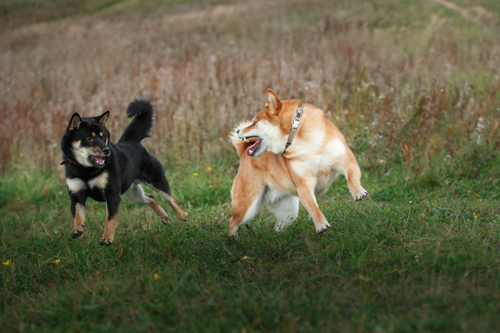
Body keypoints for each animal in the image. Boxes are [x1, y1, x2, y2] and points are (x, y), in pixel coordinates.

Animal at [60, 98, 188, 244]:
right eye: (89, 138)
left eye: (103, 137)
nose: (107, 150)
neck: (86, 170)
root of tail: (132, 142)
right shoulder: (76, 195)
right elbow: (77, 215)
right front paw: (77, 229)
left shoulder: (112, 195)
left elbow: (110, 219)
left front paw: (106, 238)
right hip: (132, 192)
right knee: (150, 198)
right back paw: (163, 216)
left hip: (156, 180)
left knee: (170, 198)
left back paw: (182, 215)